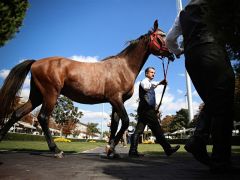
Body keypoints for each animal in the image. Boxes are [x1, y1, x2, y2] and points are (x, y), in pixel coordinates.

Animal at [0, 20, 173, 158]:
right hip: (50, 94)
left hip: (36, 96)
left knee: (17, 113)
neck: (123, 67)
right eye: (161, 36)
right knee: (42, 117)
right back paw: (56, 150)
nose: (172, 54)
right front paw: (110, 148)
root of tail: (36, 62)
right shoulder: (115, 99)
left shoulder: (116, 102)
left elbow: (115, 125)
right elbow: (125, 122)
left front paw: (112, 151)